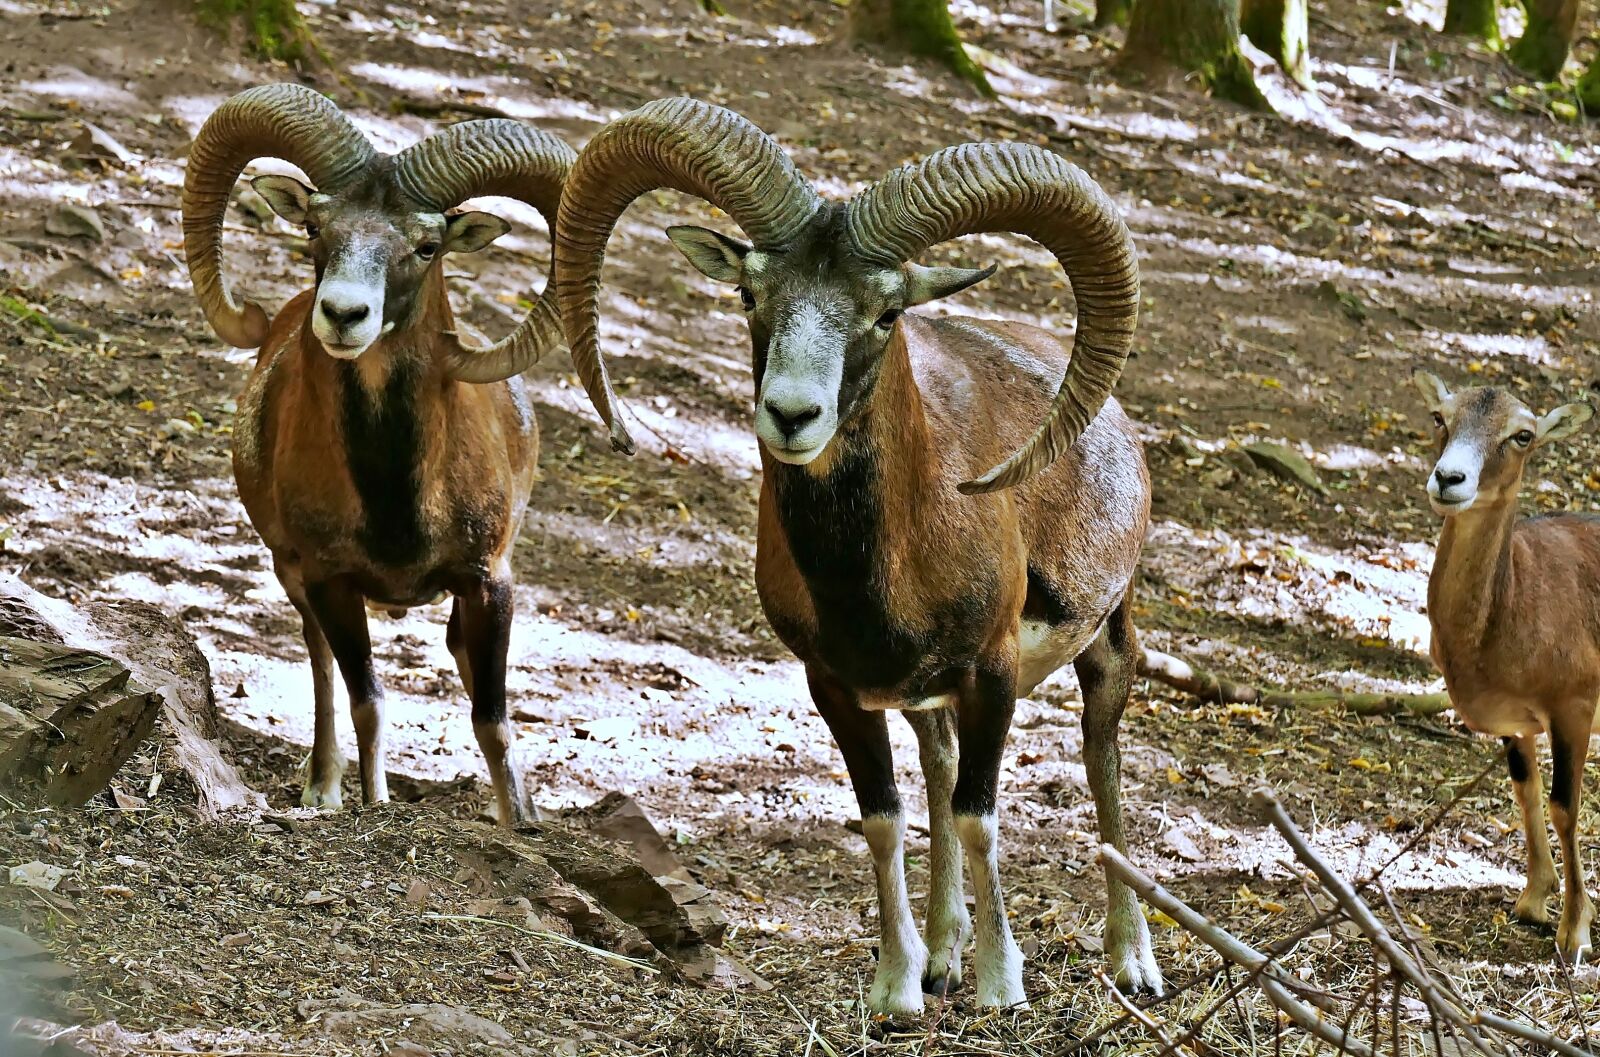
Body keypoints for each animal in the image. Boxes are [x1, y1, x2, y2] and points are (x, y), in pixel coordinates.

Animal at [180, 84, 574, 824]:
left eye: (426, 245)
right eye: (315, 228)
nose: (342, 315)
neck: (394, 490)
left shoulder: (489, 581)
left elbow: (493, 720)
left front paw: (521, 821)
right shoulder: (329, 581)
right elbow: (368, 701)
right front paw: (370, 800)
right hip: (293, 577)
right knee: (321, 663)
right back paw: (324, 784)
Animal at [552, 97, 1159, 1012]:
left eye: (884, 312)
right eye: (749, 292)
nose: (792, 414)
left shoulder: (992, 671)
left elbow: (981, 814)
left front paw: (1000, 987)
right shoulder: (837, 685)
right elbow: (884, 817)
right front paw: (897, 991)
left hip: (1108, 641)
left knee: (1102, 759)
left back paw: (1131, 961)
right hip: (925, 698)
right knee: (939, 766)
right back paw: (943, 956)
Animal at [1414, 370, 1598, 962]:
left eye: (1523, 435)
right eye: (1440, 417)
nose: (1449, 478)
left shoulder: (1574, 705)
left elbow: (1566, 805)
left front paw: (1574, 933)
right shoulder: (1517, 723)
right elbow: (1527, 789)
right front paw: (1532, 902)